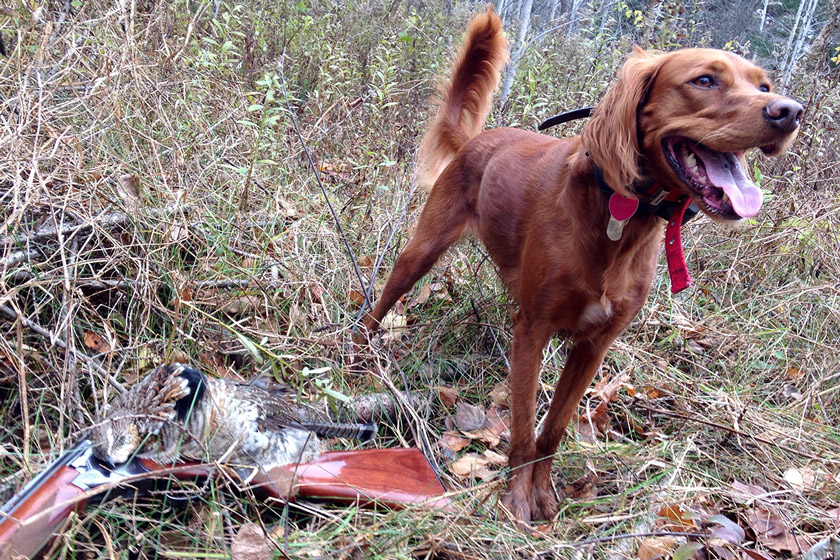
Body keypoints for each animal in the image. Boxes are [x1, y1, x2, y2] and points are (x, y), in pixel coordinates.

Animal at [358, 6, 804, 524]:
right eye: (705, 80)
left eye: (764, 85)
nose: (790, 112)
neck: (620, 212)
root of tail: (480, 138)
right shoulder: (533, 330)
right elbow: (524, 428)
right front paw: (516, 502)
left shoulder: (594, 346)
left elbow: (552, 429)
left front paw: (543, 494)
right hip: (421, 250)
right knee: (381, 303)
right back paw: (357, 354)